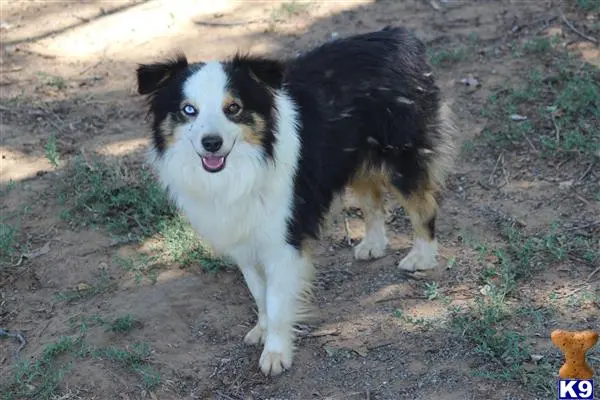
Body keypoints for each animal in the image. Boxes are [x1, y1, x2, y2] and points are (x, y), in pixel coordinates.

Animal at [135, 26, 454, 376]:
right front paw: (261, 330)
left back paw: (422, 256)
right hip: (353, 156)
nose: (211, 143)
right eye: (188, 110)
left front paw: (276, 353)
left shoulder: (282, 240)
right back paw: (373, 245)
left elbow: (276, 302)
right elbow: (258, 293)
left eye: (233, 108)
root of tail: (398, 36)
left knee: (423, 205)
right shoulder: (243, 237)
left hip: (401, 153)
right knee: (372, 200)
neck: (245, 164)